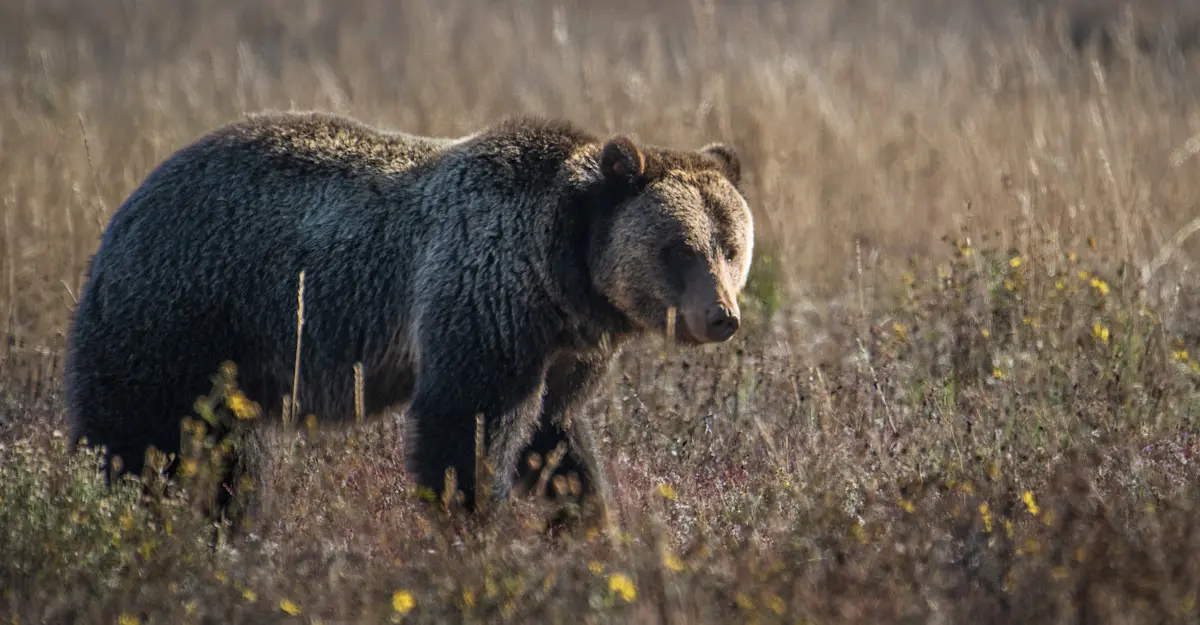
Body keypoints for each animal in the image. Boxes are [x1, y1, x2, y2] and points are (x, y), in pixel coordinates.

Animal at [64, 110, 755, 529]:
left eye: (730, 245)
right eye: (679, 248)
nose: (721, 316)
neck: (561, 274)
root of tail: (126, 209)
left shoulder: (566, 349)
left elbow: (556, 436)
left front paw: (590, 527)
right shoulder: (482, 300)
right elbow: (464, 427)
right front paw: (473, 524)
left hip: (231, 368)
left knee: (230, 458)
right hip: (181, 314)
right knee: (140, 435)